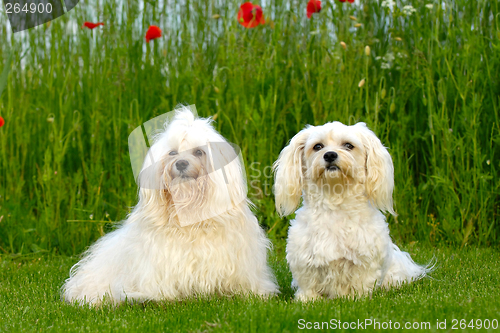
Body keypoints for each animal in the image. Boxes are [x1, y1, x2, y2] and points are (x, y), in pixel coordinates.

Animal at [274, 120, 434, 300]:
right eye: (318, 146)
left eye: (348, 145)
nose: (330, 155)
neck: (335, 200)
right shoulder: (305, 260)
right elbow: (309, 284)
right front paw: (307, 300)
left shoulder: (364, 261)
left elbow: (360, 283)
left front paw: (355, 298)